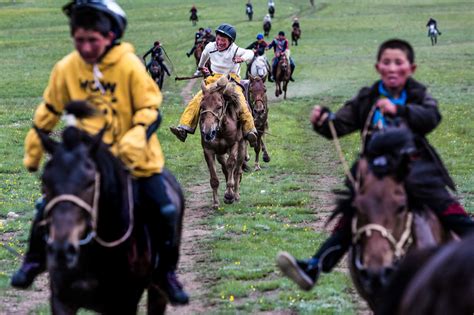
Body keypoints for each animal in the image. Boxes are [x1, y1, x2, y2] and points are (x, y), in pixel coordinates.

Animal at [34, 105, 183, 314]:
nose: (62, 249)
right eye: (44, 181)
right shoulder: (61, 300)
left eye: (91, 182)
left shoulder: (124, 303)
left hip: (157, 290)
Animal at [198, 76, 246, 210]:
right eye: (202, 106)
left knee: (237, 169)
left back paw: (236, 195)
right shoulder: (208, 150)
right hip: (220, 152)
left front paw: (229, 195)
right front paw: (216, 202)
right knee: (225, 167)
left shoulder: (234, 145)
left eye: (219, 106)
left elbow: (231, 164)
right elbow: (214, 178)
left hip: (242, 147)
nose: (207, 132)